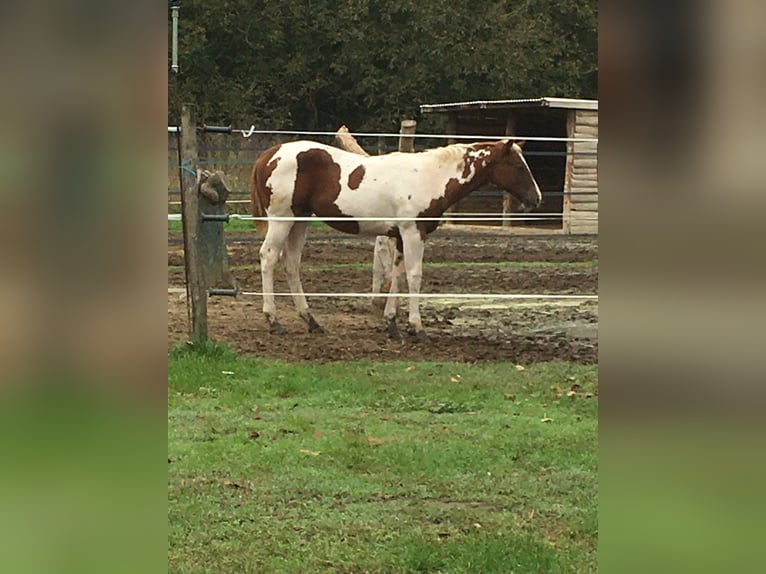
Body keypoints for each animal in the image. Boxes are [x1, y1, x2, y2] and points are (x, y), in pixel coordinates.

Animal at [249, 138, 544, 342]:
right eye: (517, 165)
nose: (536, 199)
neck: (430, 177)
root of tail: (266, 156)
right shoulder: (414, 232)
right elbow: (414, 276)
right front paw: (417, 328)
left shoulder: (401, 236)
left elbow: (397, 276)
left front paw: (392, 325)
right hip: (282, 219)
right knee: (268, 257)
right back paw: (273, 320)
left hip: (299, 220)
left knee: (291, 264)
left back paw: (311, 321)